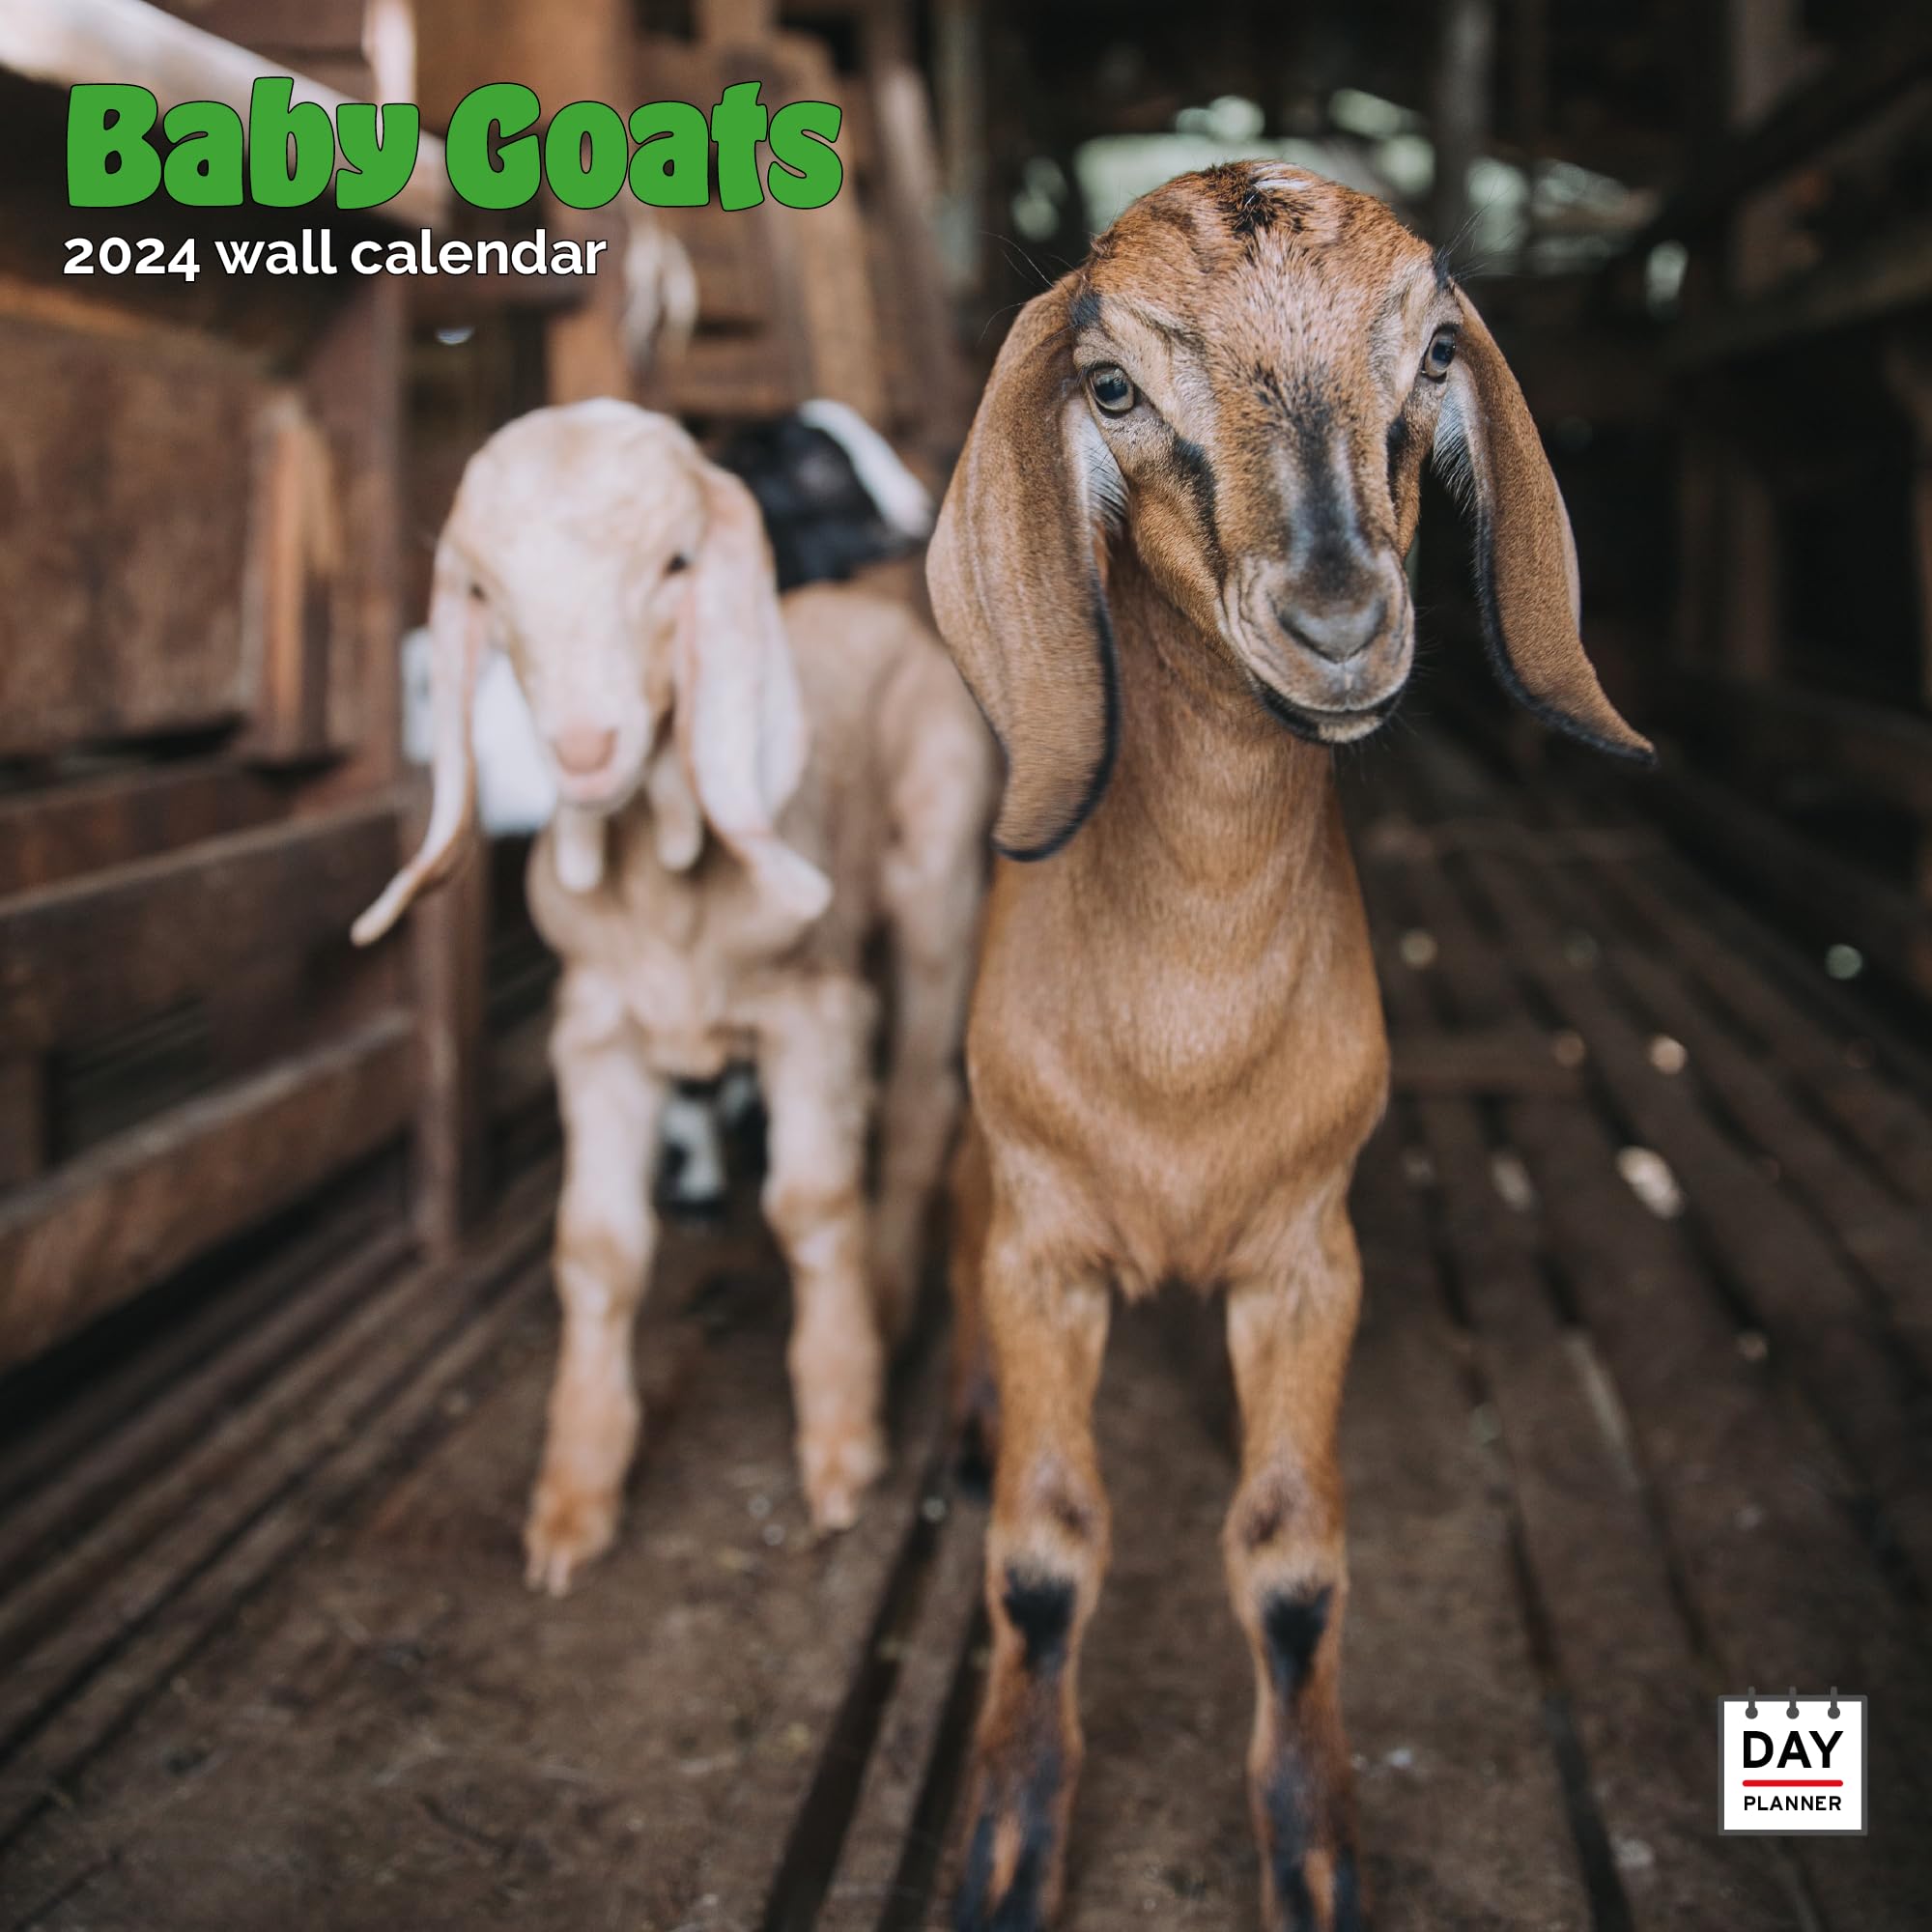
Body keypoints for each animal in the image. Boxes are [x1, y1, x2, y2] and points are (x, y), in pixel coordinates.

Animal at [355, 399, 995, 1593]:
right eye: (483, 592)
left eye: (676, 565)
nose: (582, 749)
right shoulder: (596, 1030)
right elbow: (597, 1248)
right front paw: (572, 1501)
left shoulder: (812, 1010)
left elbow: (811, 1206)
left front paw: (842, 1441)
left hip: (938, 889)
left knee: (922, 1106)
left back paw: (888, 1302)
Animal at [928, 164, 1649, 1930]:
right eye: (1112, 385)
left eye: (1435, 350)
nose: (1336, 618)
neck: (1188, 1038)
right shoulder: (1050, 1249)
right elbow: (1041, 1552)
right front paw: (1007, 1842)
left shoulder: (1309, 1261)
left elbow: (1292, 1561)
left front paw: (1313, 1849)